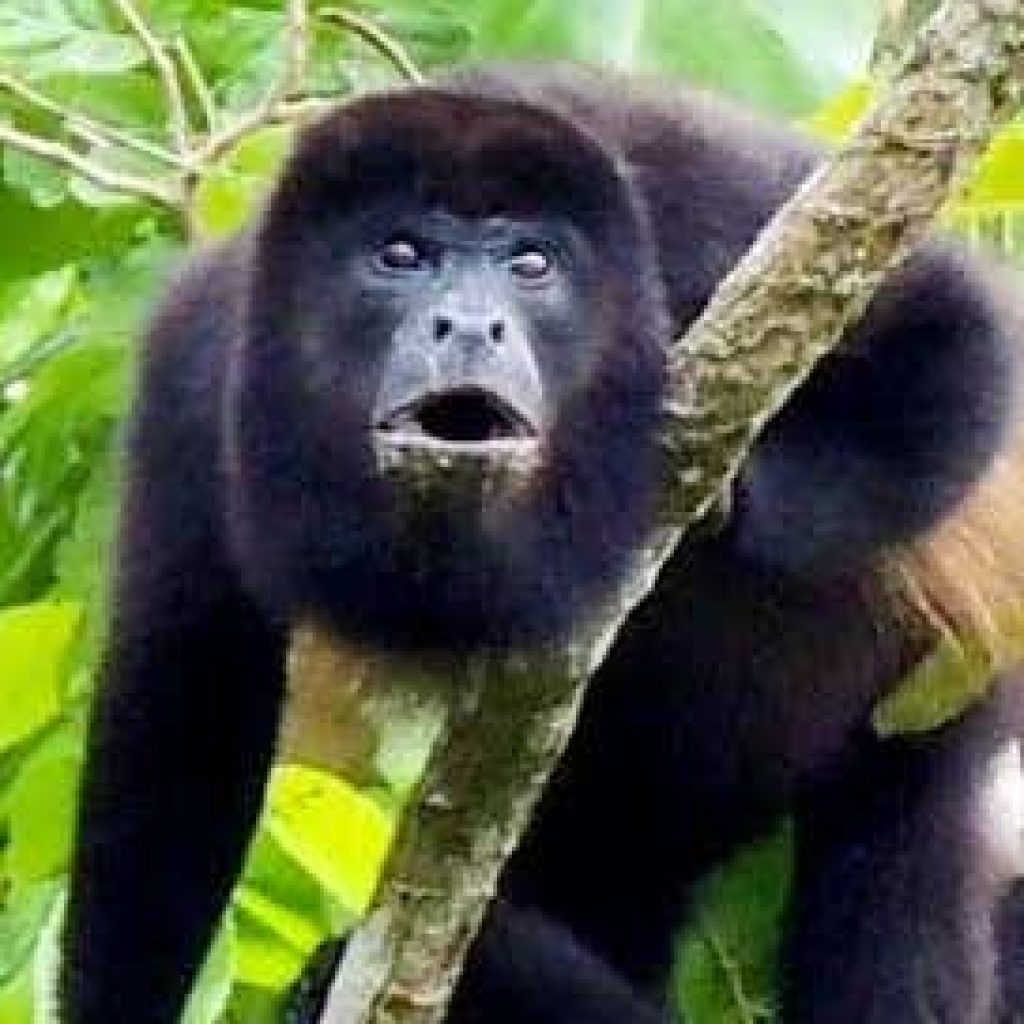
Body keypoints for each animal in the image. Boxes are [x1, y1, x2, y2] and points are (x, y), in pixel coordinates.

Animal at [61, 64, 1024, 1024]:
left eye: (532, 265)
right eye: (400, 256)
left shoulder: (701, 202)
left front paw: (724, 499)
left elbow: (952, 325)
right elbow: (179, 709)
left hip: (945, 688)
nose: (468, 325)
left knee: (900, 879)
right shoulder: (199, 364)